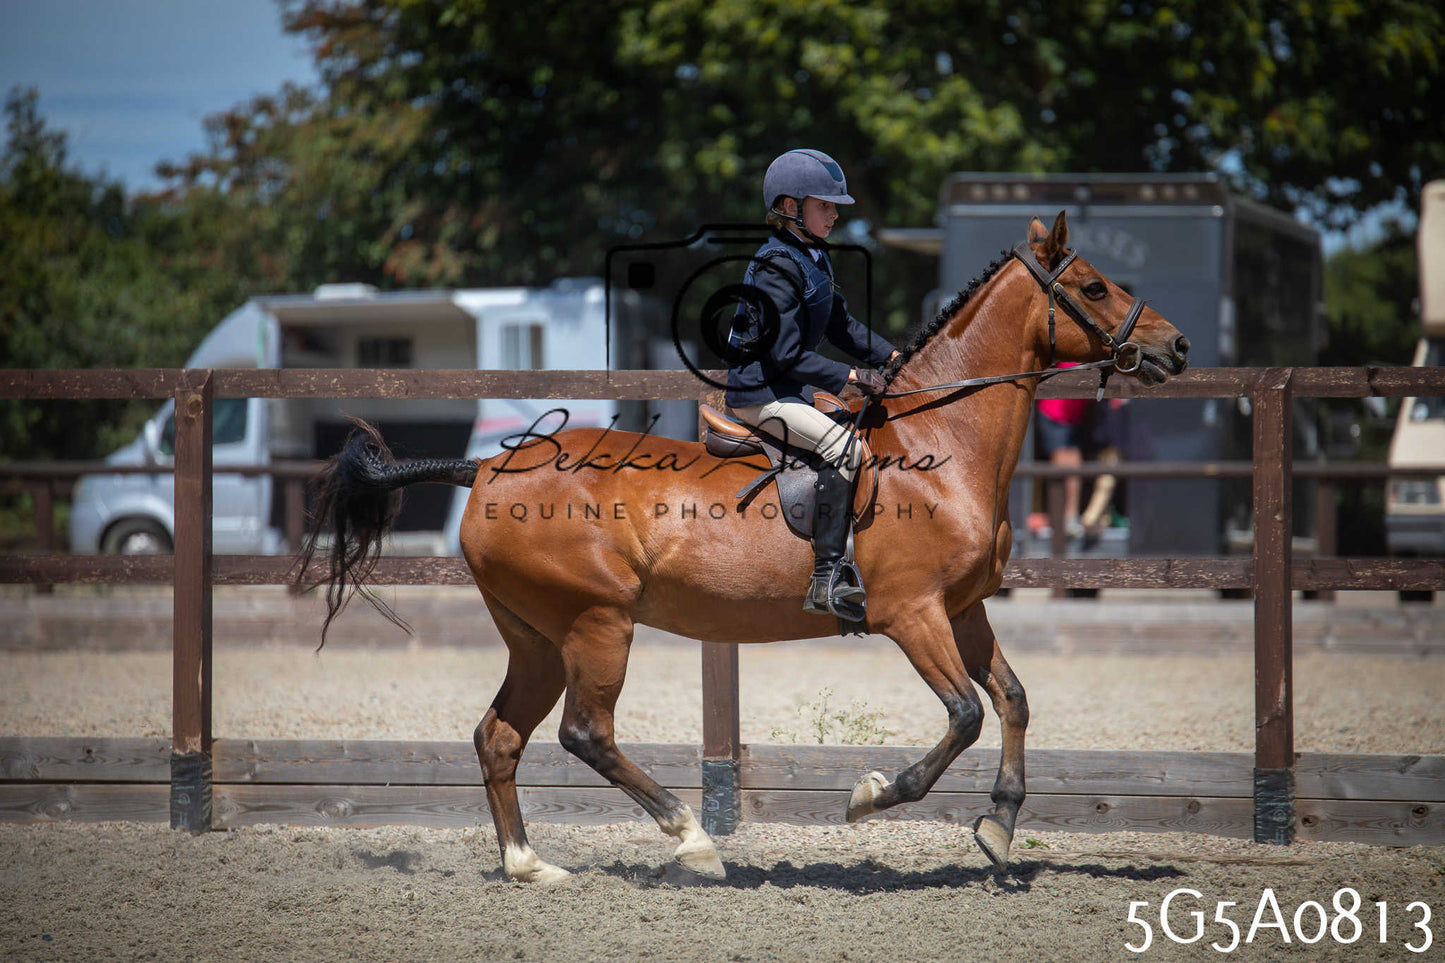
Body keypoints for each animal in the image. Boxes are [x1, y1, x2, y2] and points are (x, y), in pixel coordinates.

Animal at [298, 212, 1190, 884]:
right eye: (1093, 286)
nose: (1176, 348)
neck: (940, 444)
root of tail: (486, 465)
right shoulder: (912, 613)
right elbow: (965, 714)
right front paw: (869, 795)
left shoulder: (962, 609)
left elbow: (1011, 699)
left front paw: (999, 827)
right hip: (596, 623)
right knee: (585, 733)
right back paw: (692, 840)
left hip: (537, 635)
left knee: (500, 735)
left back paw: (529, 864)